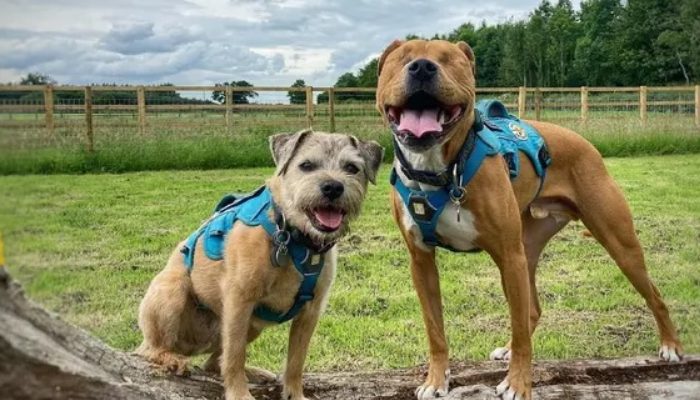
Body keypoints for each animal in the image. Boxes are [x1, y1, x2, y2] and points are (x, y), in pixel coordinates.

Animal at [137, 130, 382, 398]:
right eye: (306, 165)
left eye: (352, 167)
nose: (333, 187)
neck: (294, 236)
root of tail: (193, 344)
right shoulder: (239, 301)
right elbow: (235, 357)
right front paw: (239, 394)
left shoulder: (310, 312)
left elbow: (296, 361)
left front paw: (294, 393)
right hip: (173, 292)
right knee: (150, 349)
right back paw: (172, 359)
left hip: (252, 325)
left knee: (213, 362)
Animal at [378, 38, 684, 400]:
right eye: (402, 58)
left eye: (449, 59)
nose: (423, 67)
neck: (440, 171)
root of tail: (584, 143)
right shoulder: (422, 262)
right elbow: (435, 328)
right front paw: (436, 380)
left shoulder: (510, 257)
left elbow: (521, 333)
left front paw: (518, 384)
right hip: (525, 252)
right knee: (531, 310)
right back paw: (507, 348)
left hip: (616, 245)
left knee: (654, 295)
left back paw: (671, 345)